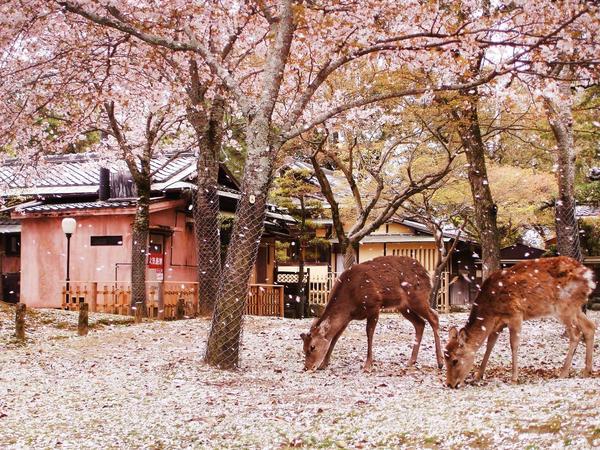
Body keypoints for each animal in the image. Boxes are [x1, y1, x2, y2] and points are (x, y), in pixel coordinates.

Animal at [300, 256, 446, 372]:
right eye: (303, 348)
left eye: (312, 347)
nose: (307, 367)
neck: (350, 300)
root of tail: (427, 274)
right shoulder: (347, 317)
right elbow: (335, 337)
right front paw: (324, 364)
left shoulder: (374, 305)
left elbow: (369, 333)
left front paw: (368, 365)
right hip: (404, 307)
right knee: (420, 323)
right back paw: (411, 361)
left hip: (418, 298)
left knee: (434, 317)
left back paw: (440, 362)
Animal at [446, 255, 596, 388]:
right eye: (445, 356)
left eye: (455, 360)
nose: (450, 384)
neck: (490, 310)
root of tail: (589, 276)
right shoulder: (497, 324)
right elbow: (490, 345)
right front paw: (478, 376)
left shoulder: (515, 314)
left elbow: (514, 344)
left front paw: (514, 378)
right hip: (575, 307)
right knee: (590, 327)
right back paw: (586, 371)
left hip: (564, 306)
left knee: (575, 333)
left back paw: (563, 373)